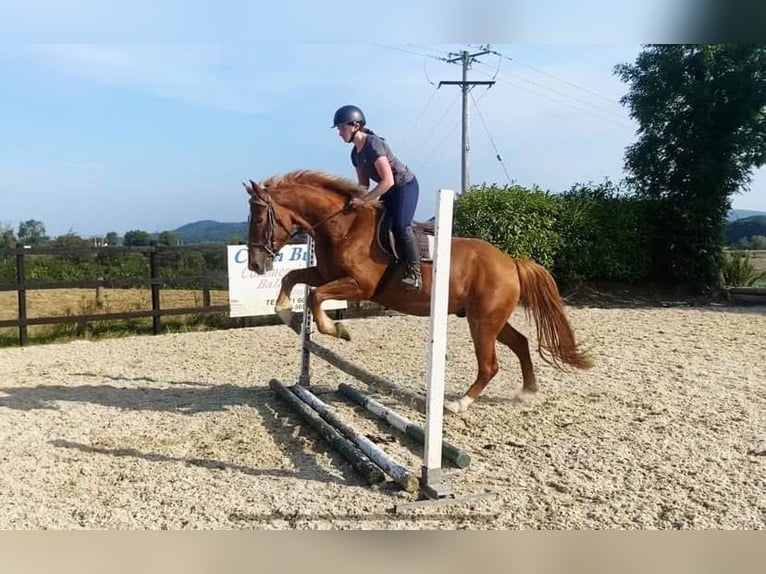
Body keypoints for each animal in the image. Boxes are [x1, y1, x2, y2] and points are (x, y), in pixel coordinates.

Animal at [246, 171, 592, 414]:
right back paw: (528, 392)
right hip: (489, 318)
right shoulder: (325, 273)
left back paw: (460, 404)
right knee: (519, 343)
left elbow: (316, 296)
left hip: (483, 321)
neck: (343, 226)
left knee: (490, 364)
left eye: (261, 218)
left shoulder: (359, 284)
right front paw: (284, 311)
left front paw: (338, 330)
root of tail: (511, 261)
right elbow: (292, 277)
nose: (255, 264)